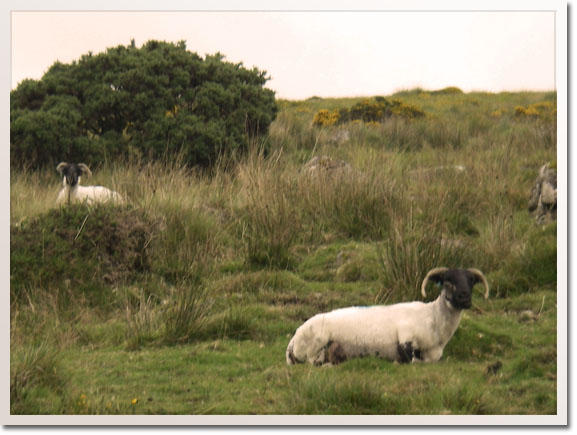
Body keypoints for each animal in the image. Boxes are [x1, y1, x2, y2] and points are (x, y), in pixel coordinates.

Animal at [286, 268, 488, 366]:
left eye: (471, 281)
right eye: (447, 280)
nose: (464, 297)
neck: (433, 319)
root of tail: (294, 339)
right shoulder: (406, 339)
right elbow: (413, 361)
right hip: (317, 344)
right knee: (313, 362)